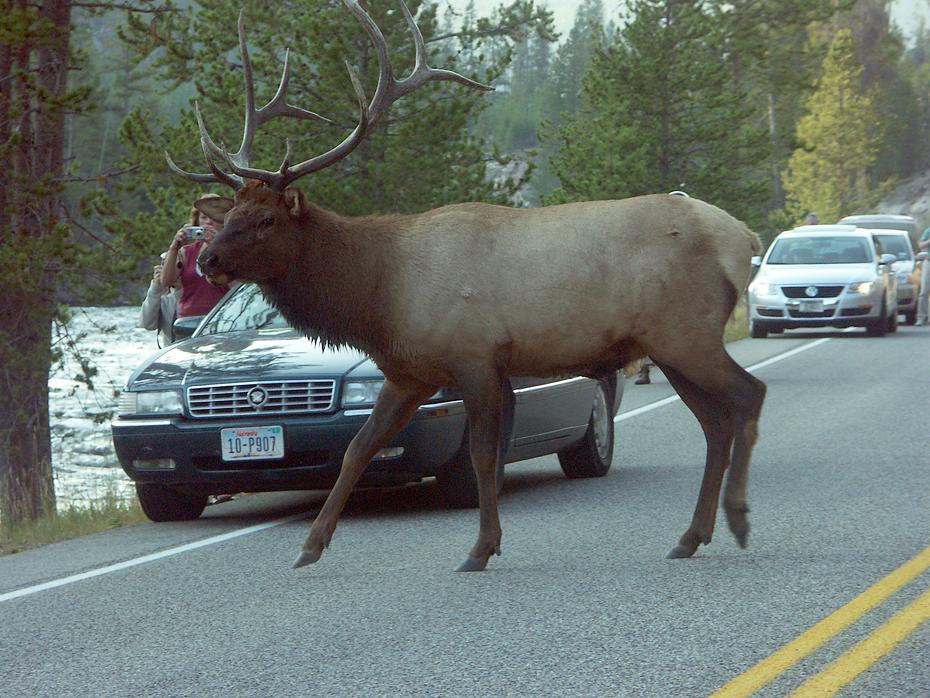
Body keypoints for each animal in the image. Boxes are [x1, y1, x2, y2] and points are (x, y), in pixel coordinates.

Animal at [168, 0, 766, 572]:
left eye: (266, 218)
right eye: (232, 214)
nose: (209, 261)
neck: (379, 296)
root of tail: (745, 238)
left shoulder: (476, 358)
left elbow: (481, 457)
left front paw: (481, 547)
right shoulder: (408, 374)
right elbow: (357, 449)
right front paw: (310, 547)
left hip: (685, 332)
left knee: (748, 396)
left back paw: (737, 520)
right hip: (668, 346)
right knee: (715, 423)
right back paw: (691, 536)